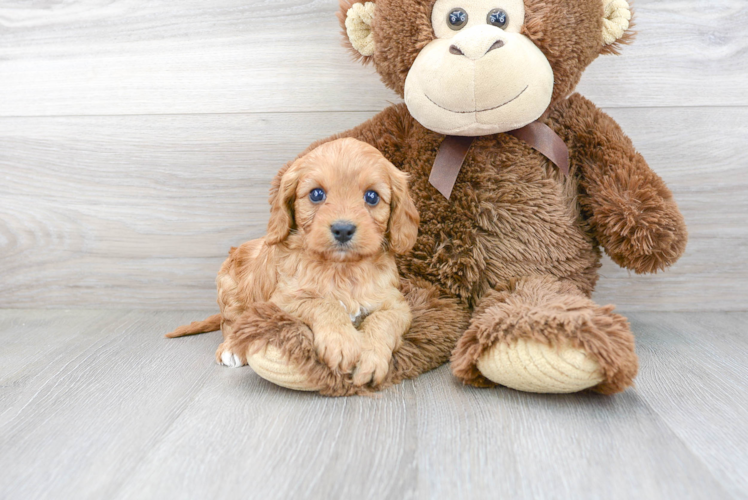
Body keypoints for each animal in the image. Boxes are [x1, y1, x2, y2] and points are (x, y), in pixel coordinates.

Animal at [169, 138, 420, 386]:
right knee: (230, 323)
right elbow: (323, 303)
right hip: (229, 288)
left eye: (372, 196)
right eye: (316, 194)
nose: (343, 229)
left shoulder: (396, 303)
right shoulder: (283, 300)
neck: (340, 268)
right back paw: (232, 348)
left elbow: (383, 320)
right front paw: (342, 343)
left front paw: (371, 357)